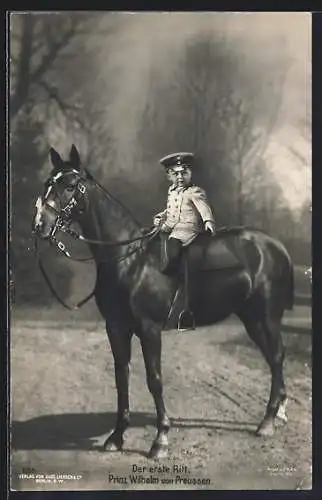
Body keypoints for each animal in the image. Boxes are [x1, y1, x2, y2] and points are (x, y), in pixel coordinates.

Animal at [32, 144, 294, 458]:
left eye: (70, 186)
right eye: (48, 183)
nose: (40, 226)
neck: (130, 259)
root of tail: (276, 246)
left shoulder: (149, 330)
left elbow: (154, 380)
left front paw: (160, 440)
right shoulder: (116, 328)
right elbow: (121, 378)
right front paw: (116, 437)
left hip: (266, 317)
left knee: (276, 358)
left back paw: (267, 422)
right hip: (252, 319)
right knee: (273, 358)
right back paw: (277, 413)